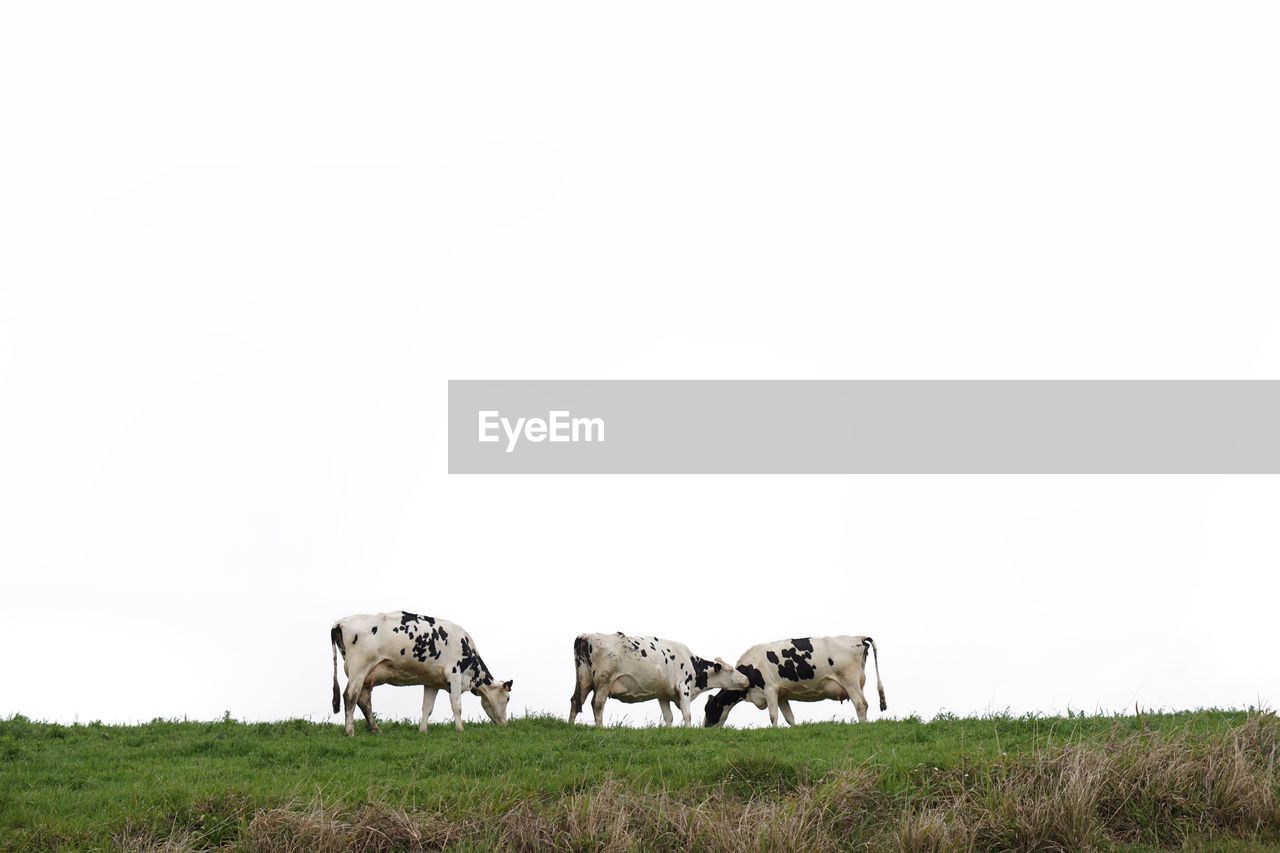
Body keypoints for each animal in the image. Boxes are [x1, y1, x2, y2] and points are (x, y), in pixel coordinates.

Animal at [327, 607, 512, 732]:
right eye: (508, 698)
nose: (505, 724)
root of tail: (340, 622)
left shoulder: (432, 682)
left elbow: (427, 708)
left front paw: (423, 731)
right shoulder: (454, 674)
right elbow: (456, 705)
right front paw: (460, 730)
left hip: (366, 673)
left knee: (364, 700)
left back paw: (375, 730)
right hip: (359, 666)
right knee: (350, 696)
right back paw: (350, 731)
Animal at [568, 630, 747, 722]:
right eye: (731, 669)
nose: (746, 679)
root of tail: (586, 636)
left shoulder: (663, 694)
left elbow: (669, 717)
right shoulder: (684, 686)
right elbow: (687, 714)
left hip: (584, 680)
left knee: (576, 700)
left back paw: (571, 726)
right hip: (603, 682)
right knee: (597, 704)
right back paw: (601, 728)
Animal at [706, 635, 885, 727]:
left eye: (708, 710)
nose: (705, 728)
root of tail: (858, 637)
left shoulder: (770, 690)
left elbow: (773, 716)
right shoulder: (781, 695)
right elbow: (789, 717)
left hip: (850, 681)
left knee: (861, 704)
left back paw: (862, 726)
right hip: (858, 682)